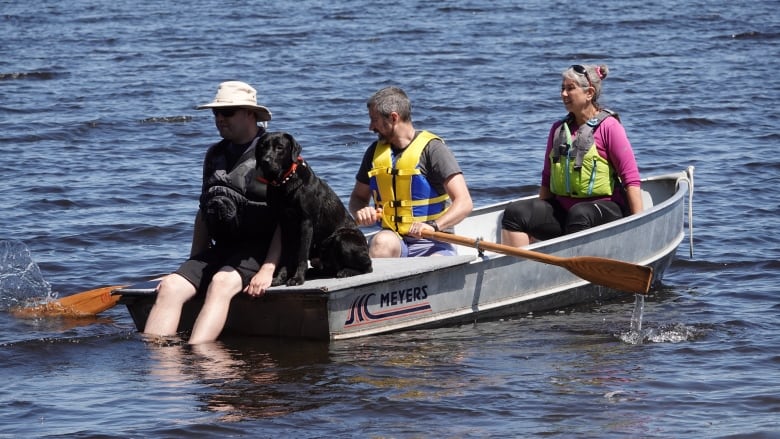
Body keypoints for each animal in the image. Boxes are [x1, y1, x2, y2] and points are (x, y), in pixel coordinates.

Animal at [256, 132, 372, 288]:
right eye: (262, 146)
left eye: (279, 147)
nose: (265, 161)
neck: (284, 183)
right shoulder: (284, 225)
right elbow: (285, 256)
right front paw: (280, 278)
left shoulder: (306, 222)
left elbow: (301, 255)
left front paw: (298, 278)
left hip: (343, 238)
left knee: (367, 266)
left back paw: (346, 271)